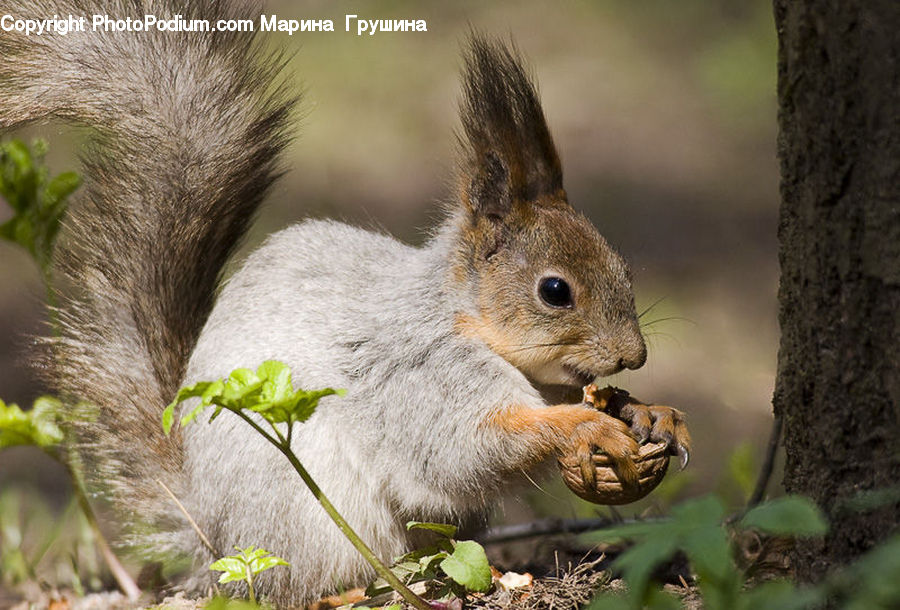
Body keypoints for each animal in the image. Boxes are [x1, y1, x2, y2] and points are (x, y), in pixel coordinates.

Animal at [1, 0, 690, 606]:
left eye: (624, 267)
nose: (634, 356)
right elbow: (466, 448)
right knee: (304, 583)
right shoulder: (419, 373)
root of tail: (210, 536)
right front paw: (584, 427)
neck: (464, 316)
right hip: (303, 518)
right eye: (554, 291)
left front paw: (647, 413)